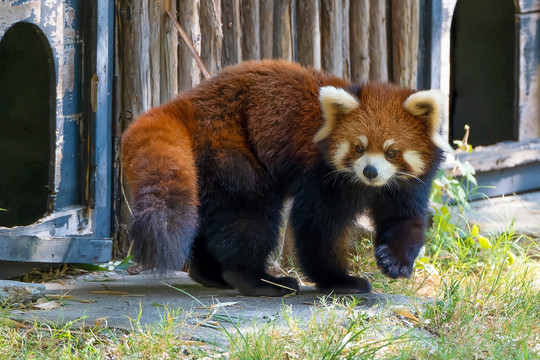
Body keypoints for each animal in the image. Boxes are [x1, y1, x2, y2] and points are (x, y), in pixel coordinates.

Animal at [122, 59, 448, 296]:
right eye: (358, 147)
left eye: (391, 152)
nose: (370, 171)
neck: (368, 186)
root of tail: (185, 101)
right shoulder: (322, 176)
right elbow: (317, 228)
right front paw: (338, 281)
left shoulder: (406, 184)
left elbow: (406, 219)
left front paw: (395, 262)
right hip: (230, 144)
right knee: (249, 214)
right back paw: (254, 280)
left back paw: (210, 274)